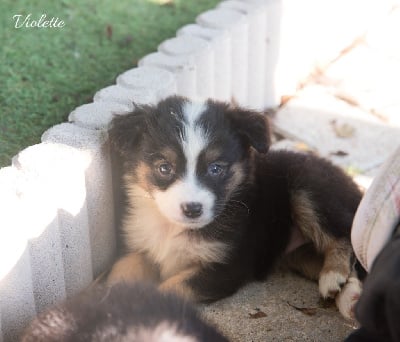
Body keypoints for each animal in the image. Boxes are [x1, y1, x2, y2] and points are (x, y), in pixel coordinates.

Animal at [106, 95, 362, 318]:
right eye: (164, 168)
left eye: (215, 168)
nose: (192, 209)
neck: (171, 228)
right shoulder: (139, 248)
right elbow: (121, 272)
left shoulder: (228, 266)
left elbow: (171, 288)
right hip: (299, 253)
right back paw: (349, 297)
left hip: (307, 185)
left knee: (344, 234)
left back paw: (333, 277)